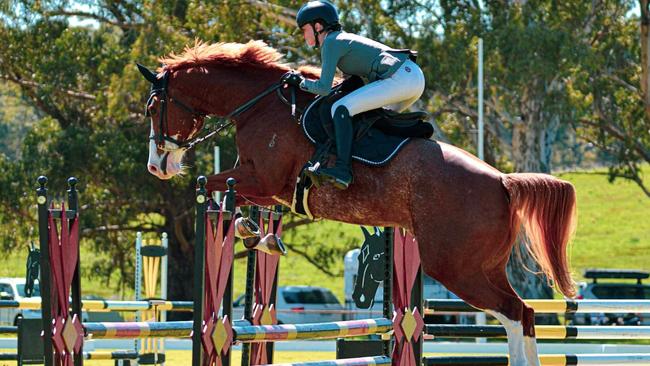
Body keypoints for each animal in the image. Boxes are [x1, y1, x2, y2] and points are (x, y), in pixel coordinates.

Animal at [139, 40, 576, 366]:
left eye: (153, 108)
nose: (157, 166)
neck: (261, 105)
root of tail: (503, 181)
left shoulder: (263, 179)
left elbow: (213, 186)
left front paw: (251, 231)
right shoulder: (266, 186)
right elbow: (238, 198)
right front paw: (260, 235)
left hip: (456, 267)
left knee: (514, 314)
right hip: (484, 266)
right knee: (525, 314)